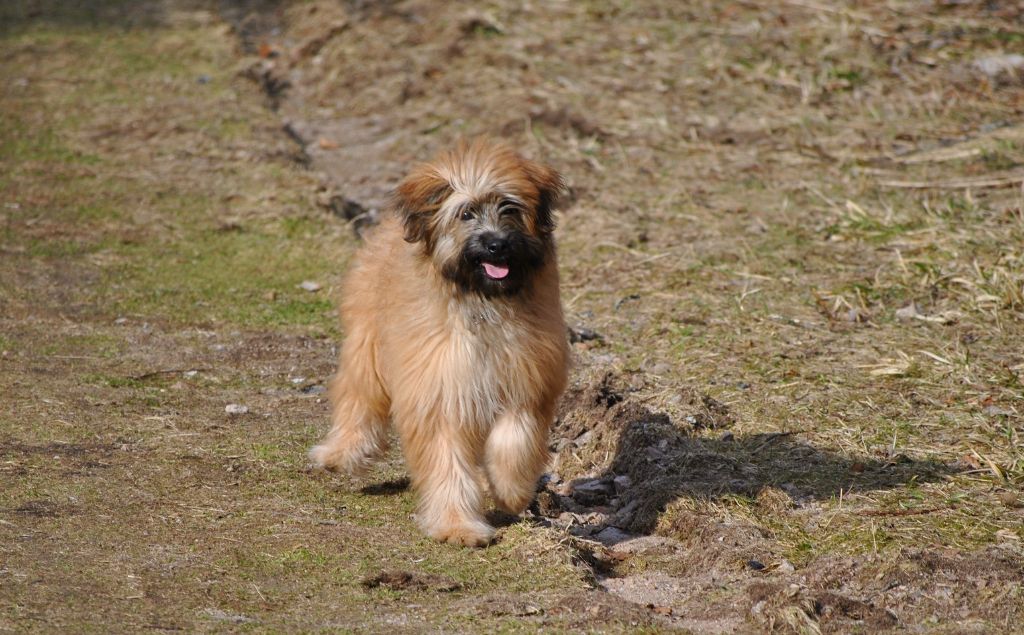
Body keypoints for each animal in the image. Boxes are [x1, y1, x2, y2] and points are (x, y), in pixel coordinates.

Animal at [307, 139, 573, 544]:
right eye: (466, 213)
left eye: (510, 208)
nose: (497, 245)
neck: (482, 302)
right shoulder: (439, 385)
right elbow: (446, 457)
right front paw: (457, 525)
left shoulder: (527, 378)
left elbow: (515, 438)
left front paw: (510, 491)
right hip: (367, 342)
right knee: (359, 396)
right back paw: (342, 452)